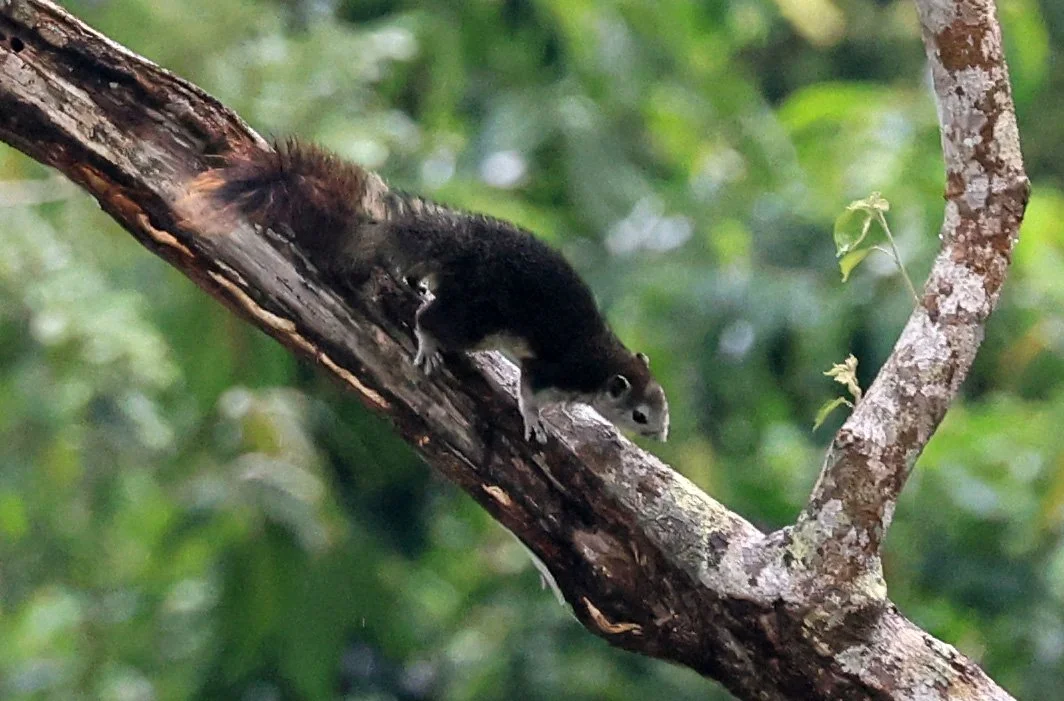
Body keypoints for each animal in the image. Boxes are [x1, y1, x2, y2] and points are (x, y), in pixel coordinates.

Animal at [182, 140, 669, 443]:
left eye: (663, 404)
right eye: (639, 415)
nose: (661, 434)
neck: (607, 362)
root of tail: (464, 244)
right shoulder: (558, 370)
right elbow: (530, 390)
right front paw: (535, 420)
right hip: (478, 320)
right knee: (429, 320)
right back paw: (428, 342)